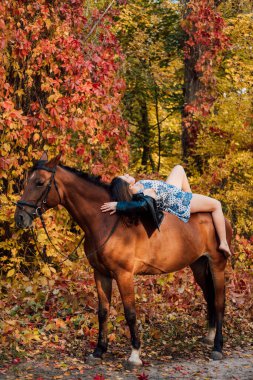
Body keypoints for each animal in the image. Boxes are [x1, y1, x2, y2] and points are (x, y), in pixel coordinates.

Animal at [13, 153, 231, 366]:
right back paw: (209, 337)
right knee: (209, 296)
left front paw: (134, 355)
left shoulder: (124, 274)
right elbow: (103, 311)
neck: (107, 221)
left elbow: (130, 313)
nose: (20, 218)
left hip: (217, 265)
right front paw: (98, 351)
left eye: (40, 183)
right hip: (199, 266)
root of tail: (220, 218)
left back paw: (218, 347)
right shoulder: (101, 274)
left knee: (219, 301)